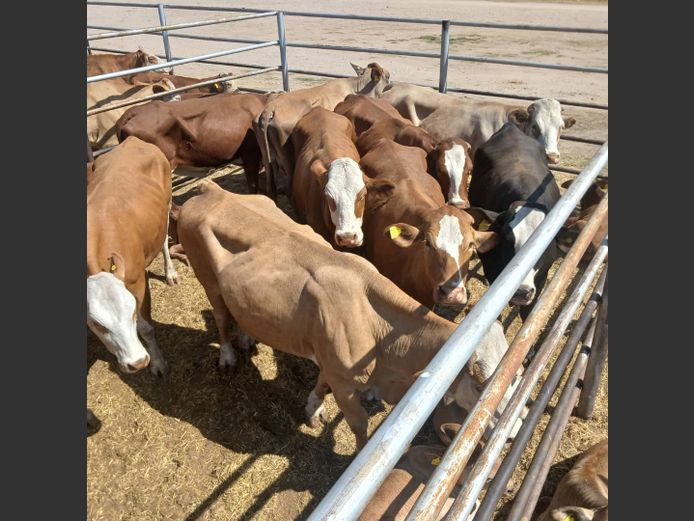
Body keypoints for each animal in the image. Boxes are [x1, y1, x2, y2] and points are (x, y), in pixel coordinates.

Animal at [87, 137, 175, 385]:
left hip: (167, 203)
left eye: (132, 310)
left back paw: (170, 273)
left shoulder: (137, 281)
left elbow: (146, 328)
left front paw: (158, 364)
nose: (137, 362)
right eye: (97, 324)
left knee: (164, 240)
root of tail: (131, 140)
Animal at [177, 179, 487, 449]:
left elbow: (321, 384)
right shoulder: (344, 381)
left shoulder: (330, 361)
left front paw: (313, 409)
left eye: (472, 247)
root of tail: (213, 189)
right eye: (479, 384)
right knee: (220, 317)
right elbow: (359, 424)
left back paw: (246, 338)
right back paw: (227, 357)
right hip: (207, 279)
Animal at [253, 62, 391, 199]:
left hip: (267, 155)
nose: (391, 85)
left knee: (270, 185)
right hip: (288, 157)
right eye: (388, 76)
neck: (356, 88)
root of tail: (270, 109)